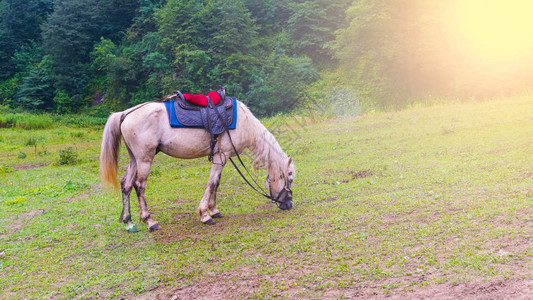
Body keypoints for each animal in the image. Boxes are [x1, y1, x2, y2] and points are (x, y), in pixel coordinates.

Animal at [100, 99, 296, 231]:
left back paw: (129, 222)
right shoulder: (222, 155)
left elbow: (216, 183)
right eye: (290, 178)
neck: (244, 122)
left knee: (126, 185)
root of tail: (126, 113)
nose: (288, 204)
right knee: (139, 186)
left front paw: (214, 210)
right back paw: (150, 221)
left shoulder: (221, 157)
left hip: (134, 159)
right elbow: (211, 183)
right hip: (144, 159)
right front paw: (205, 215)